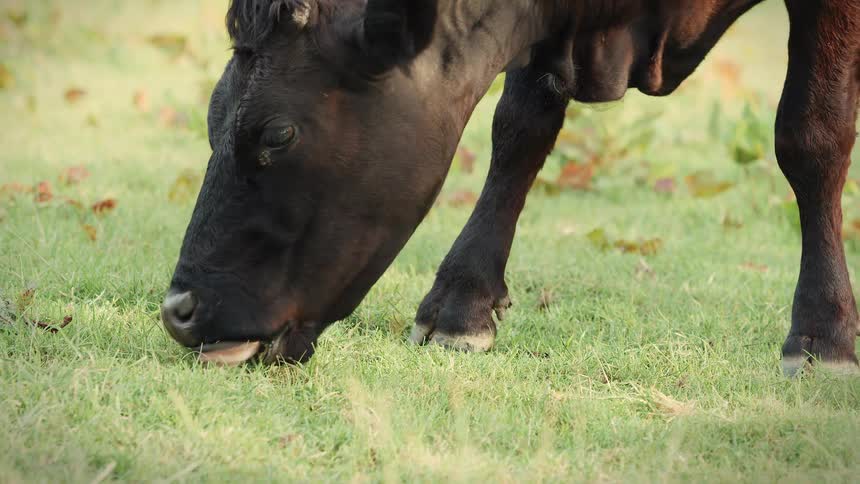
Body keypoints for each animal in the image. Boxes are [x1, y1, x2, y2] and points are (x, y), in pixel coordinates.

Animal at [160, 0, 860, 375]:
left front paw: (823, 334)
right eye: (213, 115)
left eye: (278, 134)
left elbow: (810, 134)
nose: (179, 310)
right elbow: (520, 124)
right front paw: (461, 302)